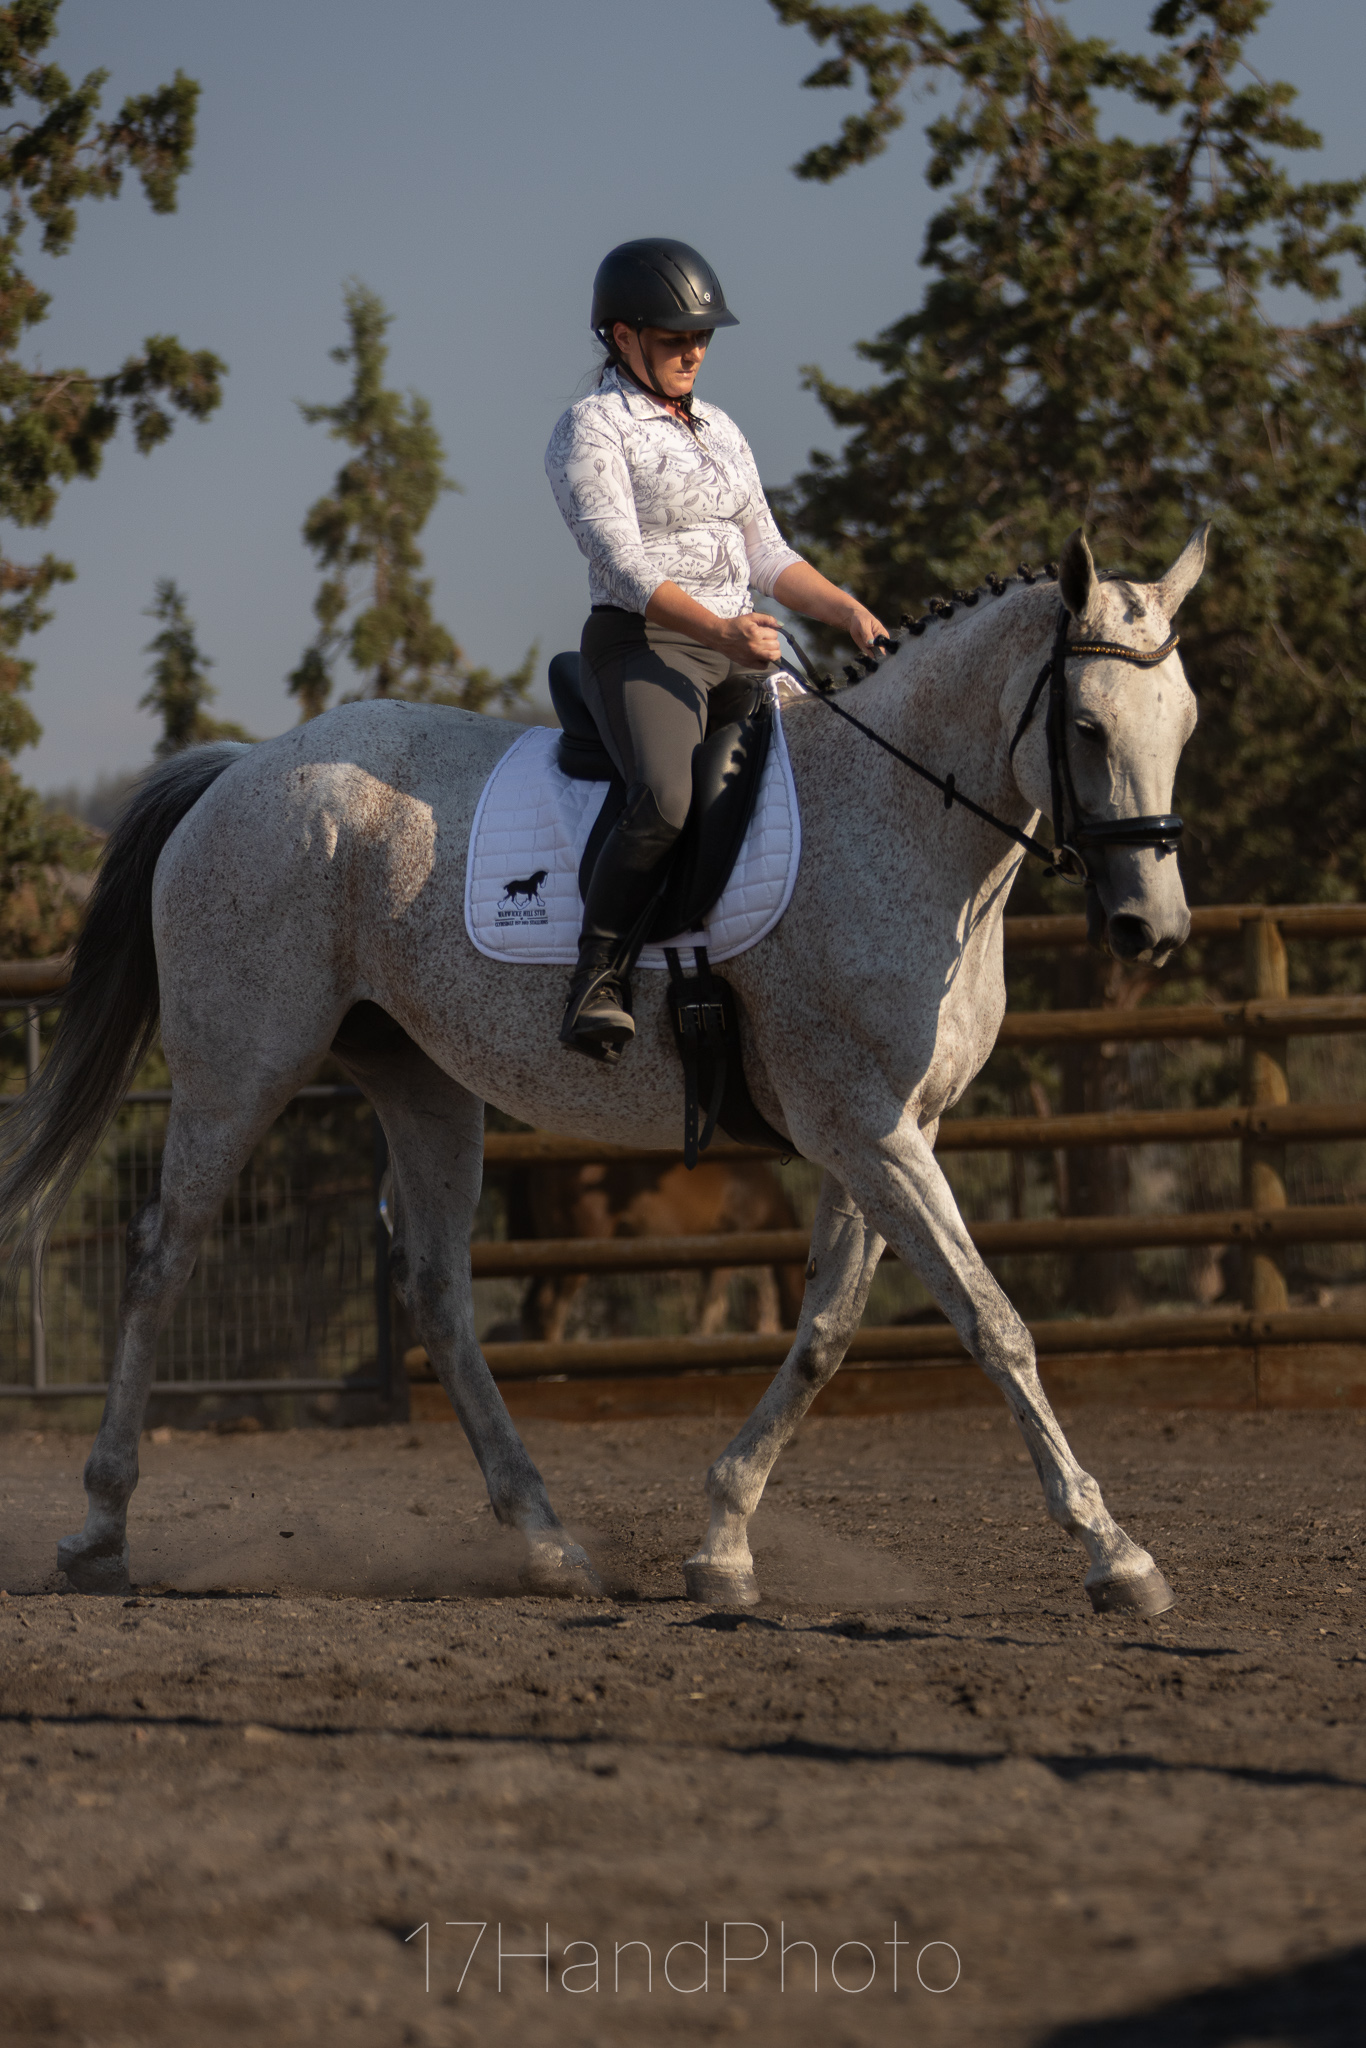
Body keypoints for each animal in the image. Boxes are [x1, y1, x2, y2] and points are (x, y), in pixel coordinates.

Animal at [0, 525, 1204, 1612]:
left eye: (1184, 721)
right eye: (1086, 725)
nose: (1152, 928)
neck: (899, 820)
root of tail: (234, 773)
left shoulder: (891, 1130)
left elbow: (825, 1333)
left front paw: (722, 1542)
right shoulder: (867, 1127)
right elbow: (993, 1322)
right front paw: (1118, 1555)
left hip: (422, 1084)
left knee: (436, 1292)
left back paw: (544, 1543)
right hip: (238, 1071)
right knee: (162, 1258)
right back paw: (100, 1531)